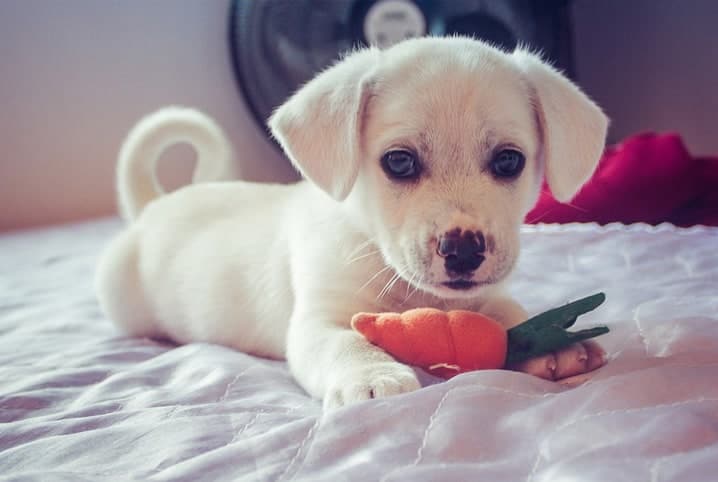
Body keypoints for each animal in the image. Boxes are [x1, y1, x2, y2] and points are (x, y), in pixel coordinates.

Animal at [95, 36, 612, 410]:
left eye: (509, 161)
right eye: (399, 162)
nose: (463, 251)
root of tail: (153, 205)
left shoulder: (488, 297)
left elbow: (511, 313)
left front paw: (551, 344)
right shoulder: (318, 321)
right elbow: (346, 344)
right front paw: (373, 374)